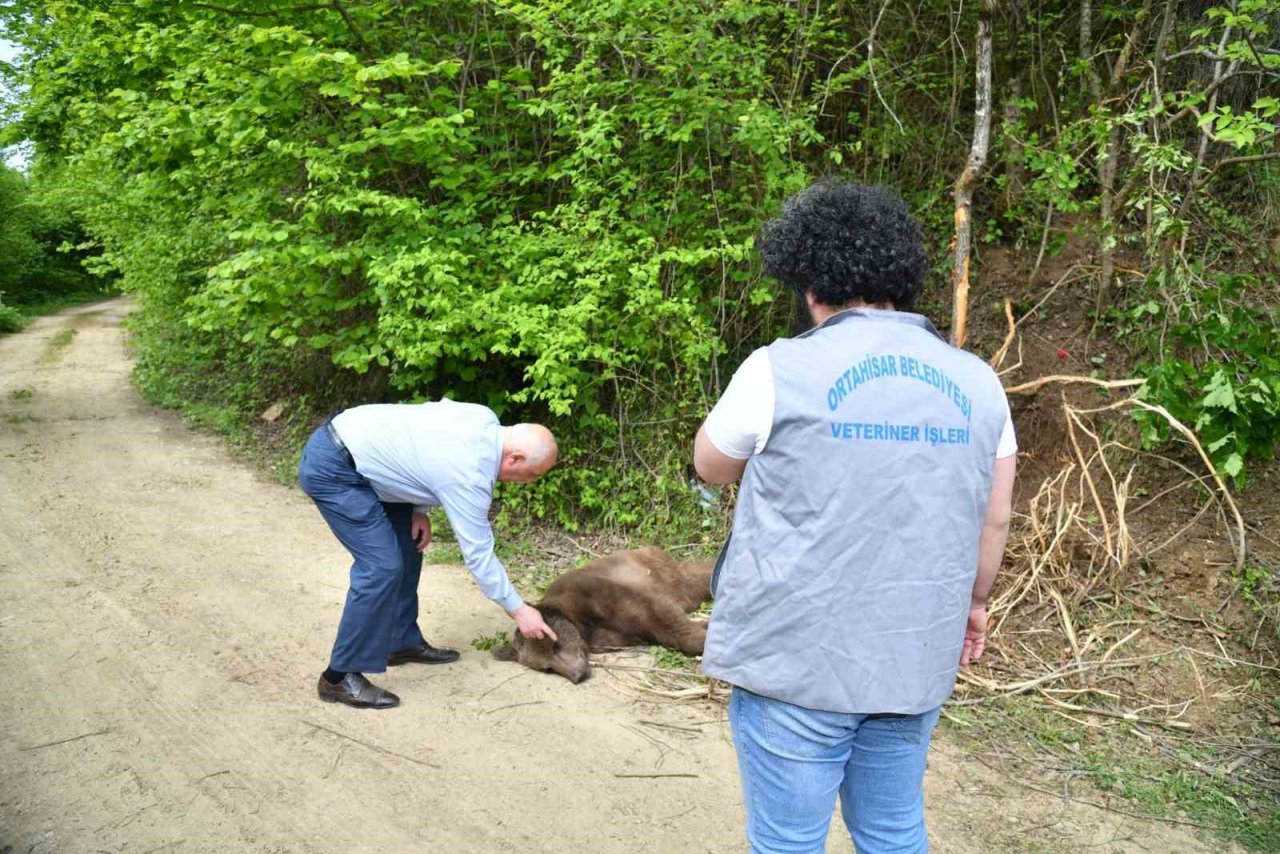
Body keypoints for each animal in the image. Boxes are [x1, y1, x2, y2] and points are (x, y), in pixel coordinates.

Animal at [491, 550, 716, 686]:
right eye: (547, 668)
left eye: (555, 645)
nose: (578, 675)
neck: (580, 623)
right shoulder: (604, 636)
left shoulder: (599, 594)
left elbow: (659, 616)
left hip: (660, 572)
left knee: (695, 580)